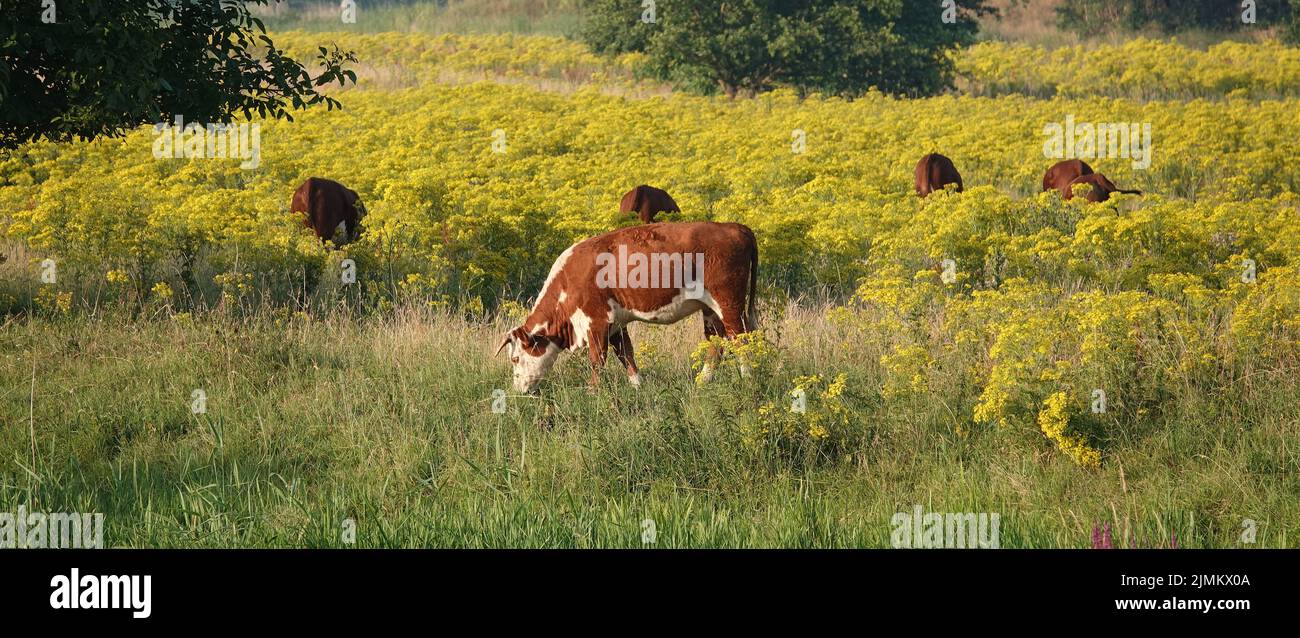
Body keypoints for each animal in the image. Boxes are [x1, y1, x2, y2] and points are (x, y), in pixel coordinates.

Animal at [495, 221, 759, 393]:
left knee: (740, 339)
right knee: (716, 342)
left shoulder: (597, 321)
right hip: (711, 310)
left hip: (729, 304)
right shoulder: (616, 323)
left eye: (516, 358)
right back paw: (702, 381)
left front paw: (593, 392)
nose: (518, 390)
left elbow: (597, 359)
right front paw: (637, 386)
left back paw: (747, 378)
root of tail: (735, 226)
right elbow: (626, 354)